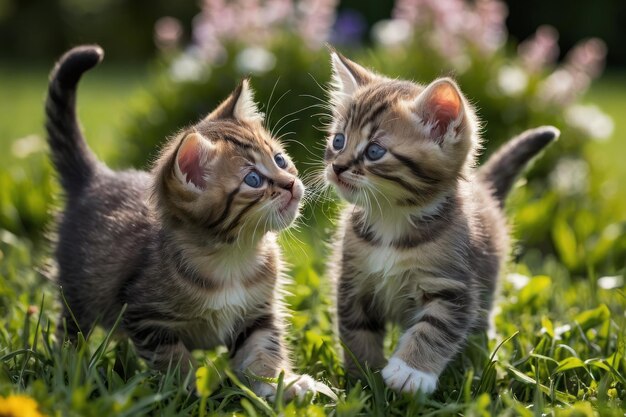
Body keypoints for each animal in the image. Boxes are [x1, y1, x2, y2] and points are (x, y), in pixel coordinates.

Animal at [45, 44, 316, 396]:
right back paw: (69, 367)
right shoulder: (145, 317)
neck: (233, 255)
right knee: (71, 330)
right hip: (77, 292)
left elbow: (262, 349)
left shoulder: (258, 313)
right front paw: (189, 392)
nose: (292, 184)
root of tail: (96, 177)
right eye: (253, 180)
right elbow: (171, 358)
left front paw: (279, 384)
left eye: (280, 160)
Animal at [322, 52, 556, 394]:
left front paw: (410, 372)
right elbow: (356, 330)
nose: (337, 167)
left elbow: (436, 328)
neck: (390, 220)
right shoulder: (353, 281)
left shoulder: (453, 285)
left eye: (374, 151)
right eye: (338, 141)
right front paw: (363, 378)